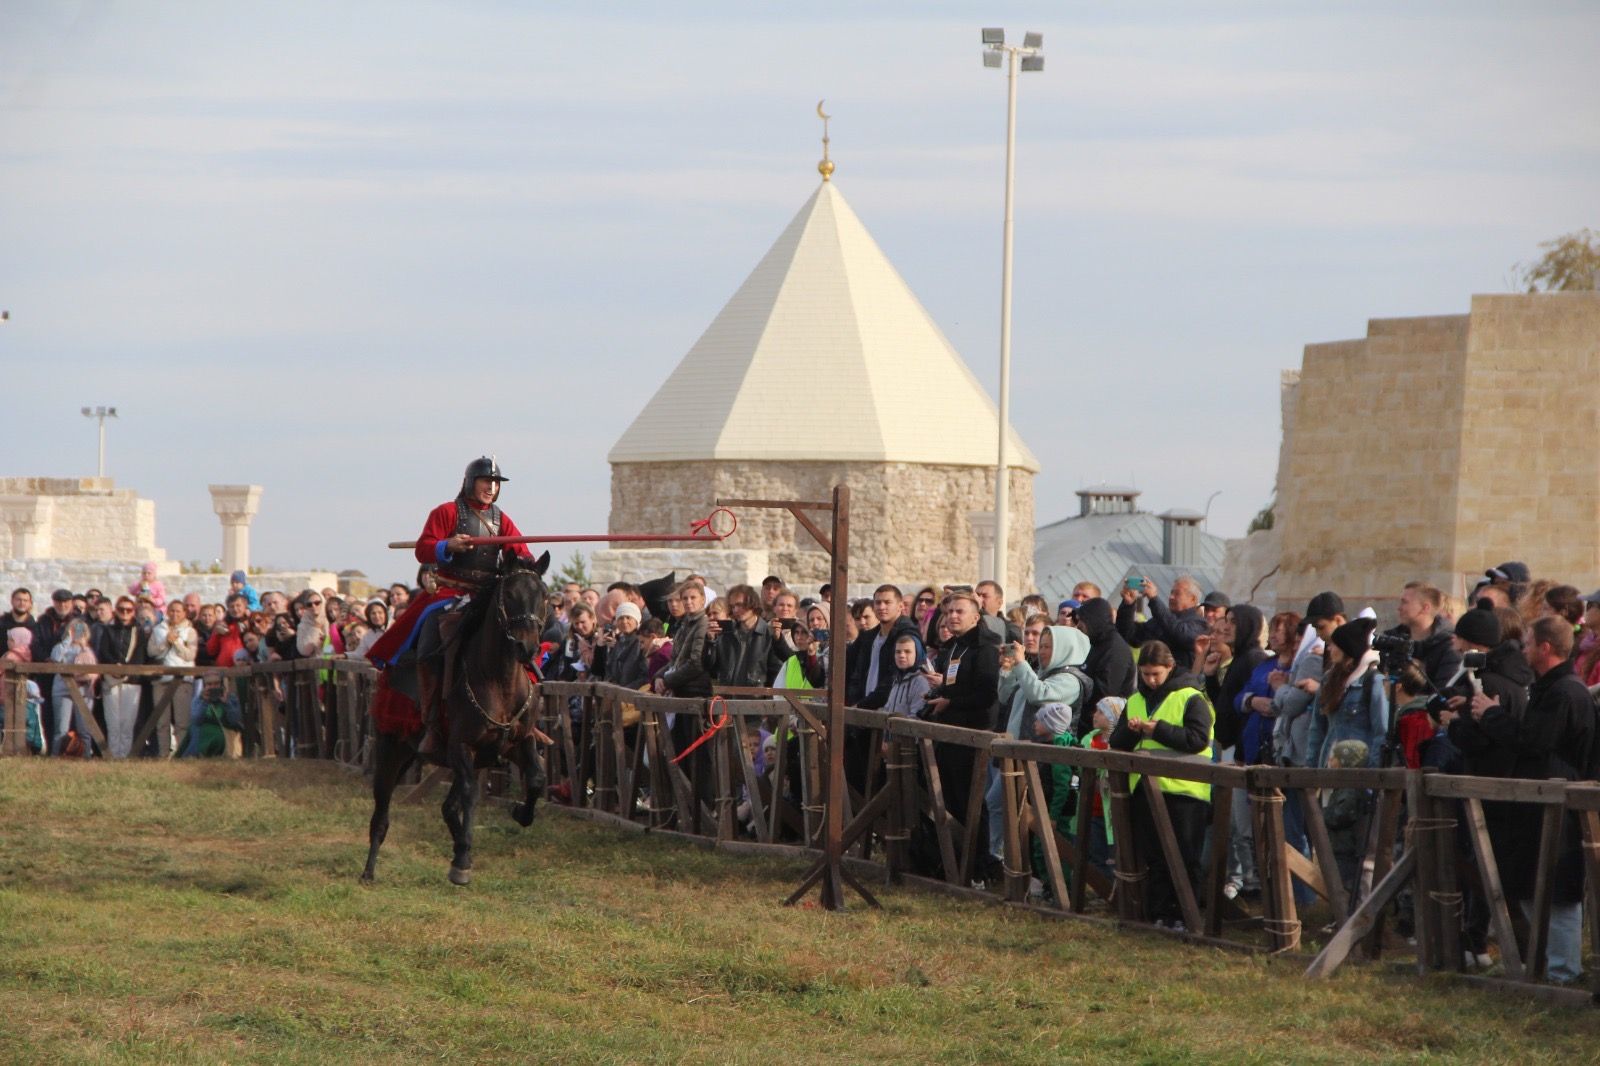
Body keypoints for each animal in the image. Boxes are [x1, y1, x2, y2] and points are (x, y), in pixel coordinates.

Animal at [361, 550, 550, 883]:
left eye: (544, 596)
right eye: (509, 595)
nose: (526, 648)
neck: (498, 681)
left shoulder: (517, 742)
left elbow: (537, 779)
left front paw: (520, 813)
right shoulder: (462, 746)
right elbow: (470, 795)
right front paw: (462, 859)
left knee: (448, 807)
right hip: (391, 749)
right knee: (382, 811)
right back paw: (369, 871)